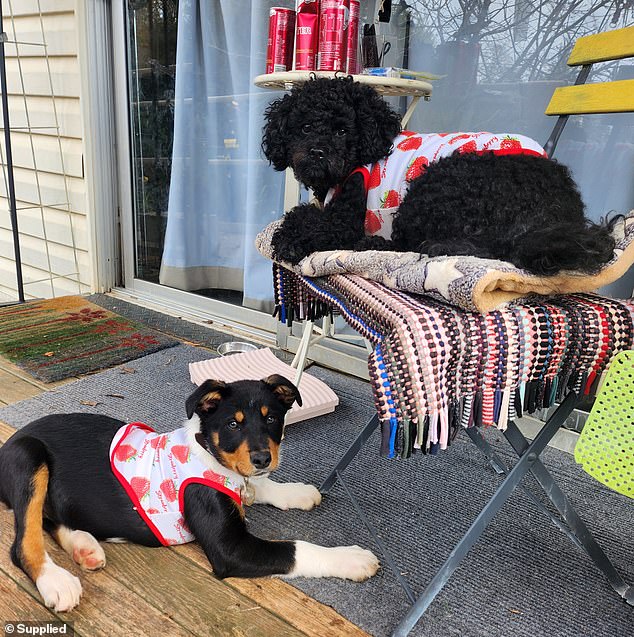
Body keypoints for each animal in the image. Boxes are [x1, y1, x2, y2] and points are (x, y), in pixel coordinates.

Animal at [0, 376, 376, 608]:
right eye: (233, 424)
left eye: (271, 419)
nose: (262, 458)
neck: (212, 456)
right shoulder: (231, 549)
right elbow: (296, 549)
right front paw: (351, 558)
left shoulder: (246, 481)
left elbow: (261, 486)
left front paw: (297, 492)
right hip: (29, 455)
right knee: (22, 540)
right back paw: (55, 580)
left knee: (47, 519)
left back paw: (84, 546)